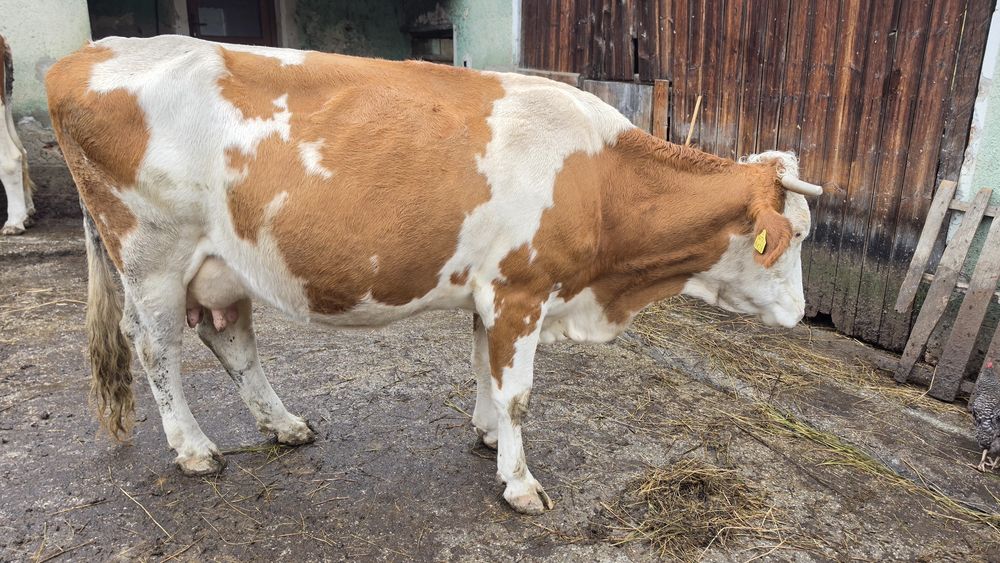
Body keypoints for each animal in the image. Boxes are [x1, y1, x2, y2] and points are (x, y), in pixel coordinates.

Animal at [46, 35, 822, 515]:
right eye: (792, 239)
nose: (799, 313)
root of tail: (90, 52)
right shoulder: (520, 289)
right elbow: (518, 394)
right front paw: (519, 483)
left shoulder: (492, 291)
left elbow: (483, 369)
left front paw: (486, 437)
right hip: (150, 254)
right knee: (156, 348)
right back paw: (195, 450)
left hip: (223, 263)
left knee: (231, 340)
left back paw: (284, 424)